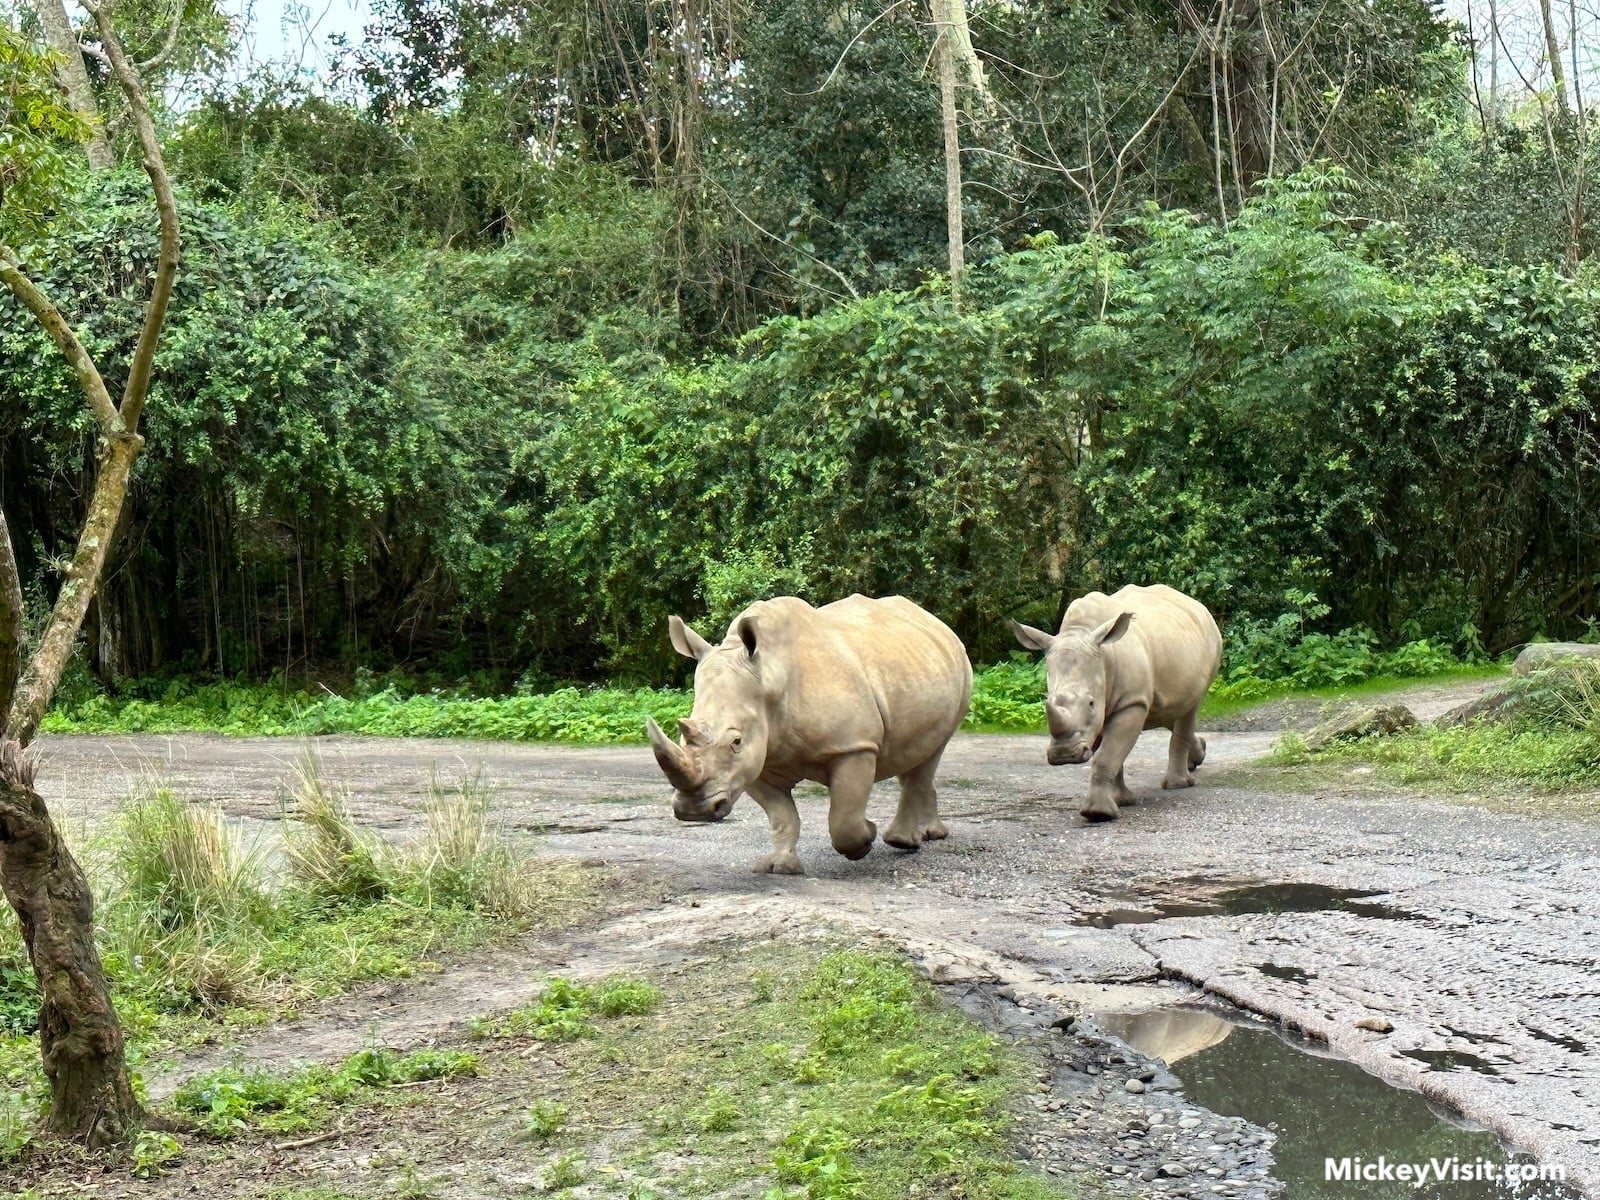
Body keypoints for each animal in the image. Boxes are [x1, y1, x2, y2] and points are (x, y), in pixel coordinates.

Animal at [645, 595, 972, 874]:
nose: (693, 810)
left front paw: (864, 841)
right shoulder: (757, 759)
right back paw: (926, 834)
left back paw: (903, 841)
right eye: (682, 738)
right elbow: (782, 817)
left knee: (933, 749)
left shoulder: (853, 745)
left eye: (736, 741)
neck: (770, 678)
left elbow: (843, 820)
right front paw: (779, 867)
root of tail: (933, 620)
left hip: (959, 667)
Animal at [1010, 584, 1221, 822]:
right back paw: (1196, 758)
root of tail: (1196, 604)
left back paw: (1178, 785)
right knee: (1170, 710)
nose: (1063, 754)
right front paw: (1122, 801)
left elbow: (1107, 755)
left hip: (1210, 642)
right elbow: (1113, 755)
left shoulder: (1131, 702)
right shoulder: (1109, 707)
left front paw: (1098, 814)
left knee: (1190, 707)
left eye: (1091, 703)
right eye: (1048, 702)